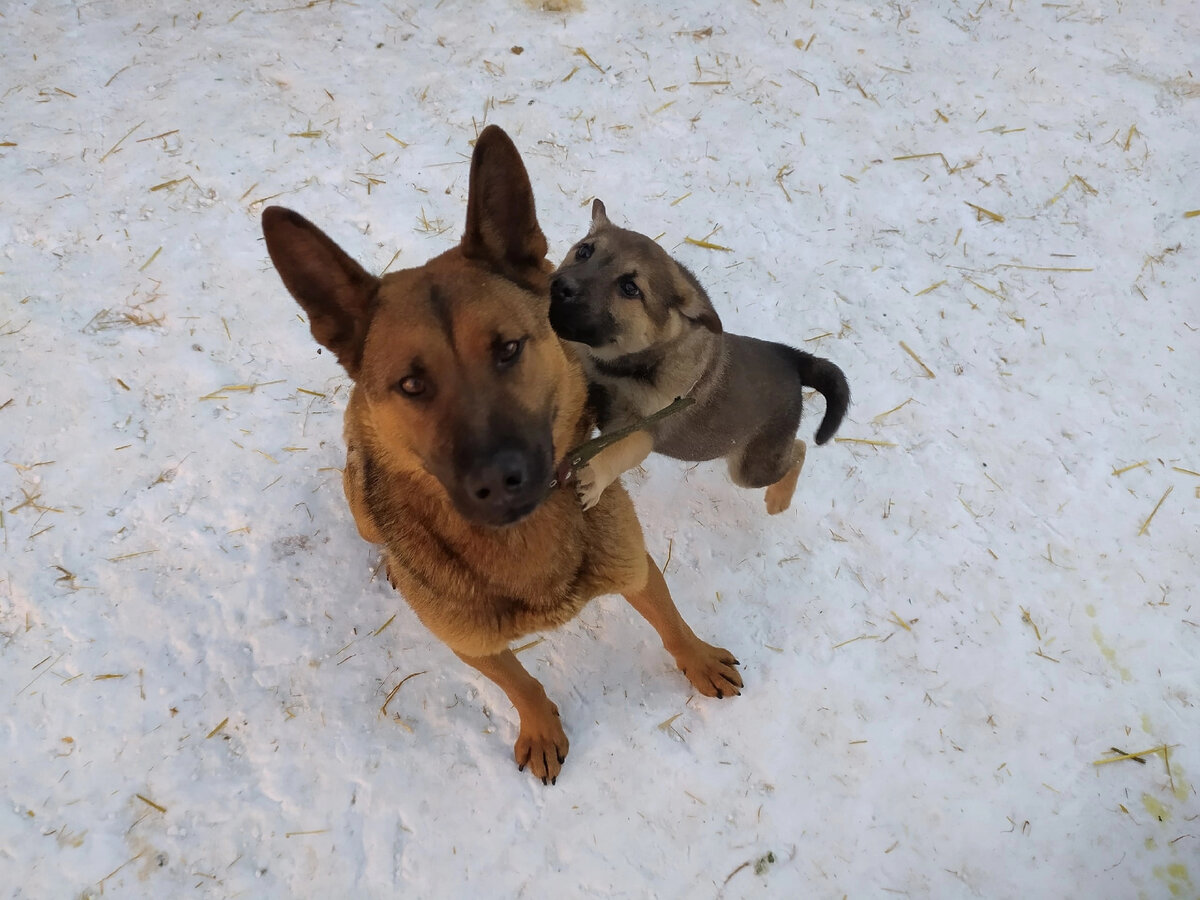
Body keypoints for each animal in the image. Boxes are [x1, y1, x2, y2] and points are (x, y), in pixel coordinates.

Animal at [262, 125, 739, 782]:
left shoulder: (635, 565)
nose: (499, 481)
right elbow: (521, 684)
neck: (525, 548)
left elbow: (669, 620)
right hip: (358, 504)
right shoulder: (471, 644)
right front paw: (541, 728)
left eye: (509, 348)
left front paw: (696, 658)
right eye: (412, 384)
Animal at [549, 201, 849, 518]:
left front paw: (593, 477)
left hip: (752, 467)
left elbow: (617, 450)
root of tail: (791, 359)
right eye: (584, 251)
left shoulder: (644, 427)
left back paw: (779, 499)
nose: (558, 286)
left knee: (799, 450)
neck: (624, 365)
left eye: (630, 288)